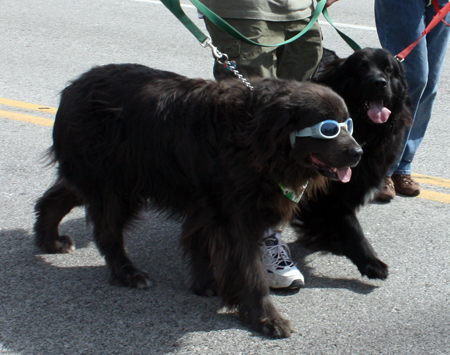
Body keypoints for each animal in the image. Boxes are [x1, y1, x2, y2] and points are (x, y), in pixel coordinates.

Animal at [35, 64, 364, 340]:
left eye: (348, 124)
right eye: (328, 128)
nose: (358, 153)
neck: (258, 136)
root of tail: (73, 88)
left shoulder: (208, 206)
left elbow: (201, 243)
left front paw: (205, 283)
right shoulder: (235, 216)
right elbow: (249, 270)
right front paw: (266, 318)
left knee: (57, 196)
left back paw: (50, 240)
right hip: (117, 183)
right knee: (107, 231)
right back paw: (129, 273)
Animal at [294, 48, 414, 280]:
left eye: (388, 70)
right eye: (361, 68)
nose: (379, 83)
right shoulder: (328, 191)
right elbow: (350, 224)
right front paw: (371, 262)